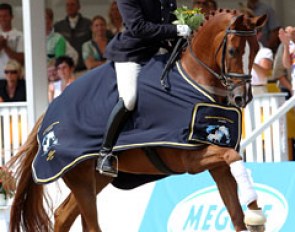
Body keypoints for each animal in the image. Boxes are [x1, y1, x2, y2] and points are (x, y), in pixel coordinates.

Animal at [9, 10, 268, 232]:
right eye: (233, 51)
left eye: (256, 49)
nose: (242, 97)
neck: (195, 82)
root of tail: (49, 113)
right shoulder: (190, 158)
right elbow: (232, 156)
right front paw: (256, 213)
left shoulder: (216, 164)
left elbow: (236, 212)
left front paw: (253, 212)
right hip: (80, 177)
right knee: (86, 222)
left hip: (95, 178)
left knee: (63, 215)